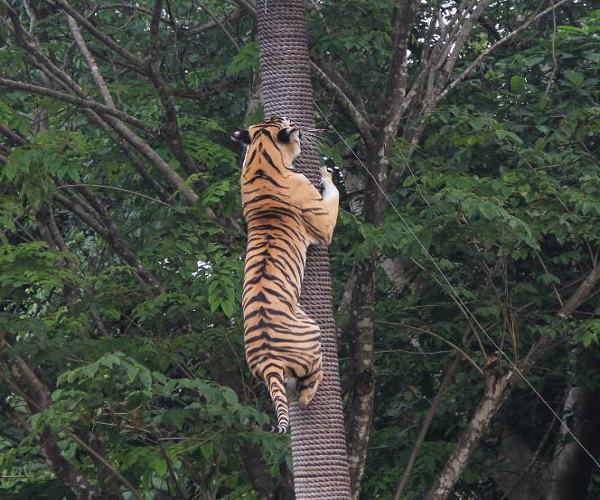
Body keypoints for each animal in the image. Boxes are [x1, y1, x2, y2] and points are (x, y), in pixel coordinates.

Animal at [233, 117, 340, 434]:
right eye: (291, 124)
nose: (301, 129)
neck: (260, 158)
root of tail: (268, 361)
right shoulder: (323, 225)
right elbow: (333, 197)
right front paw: (327, 173)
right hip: (313, 333)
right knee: (307, 387)